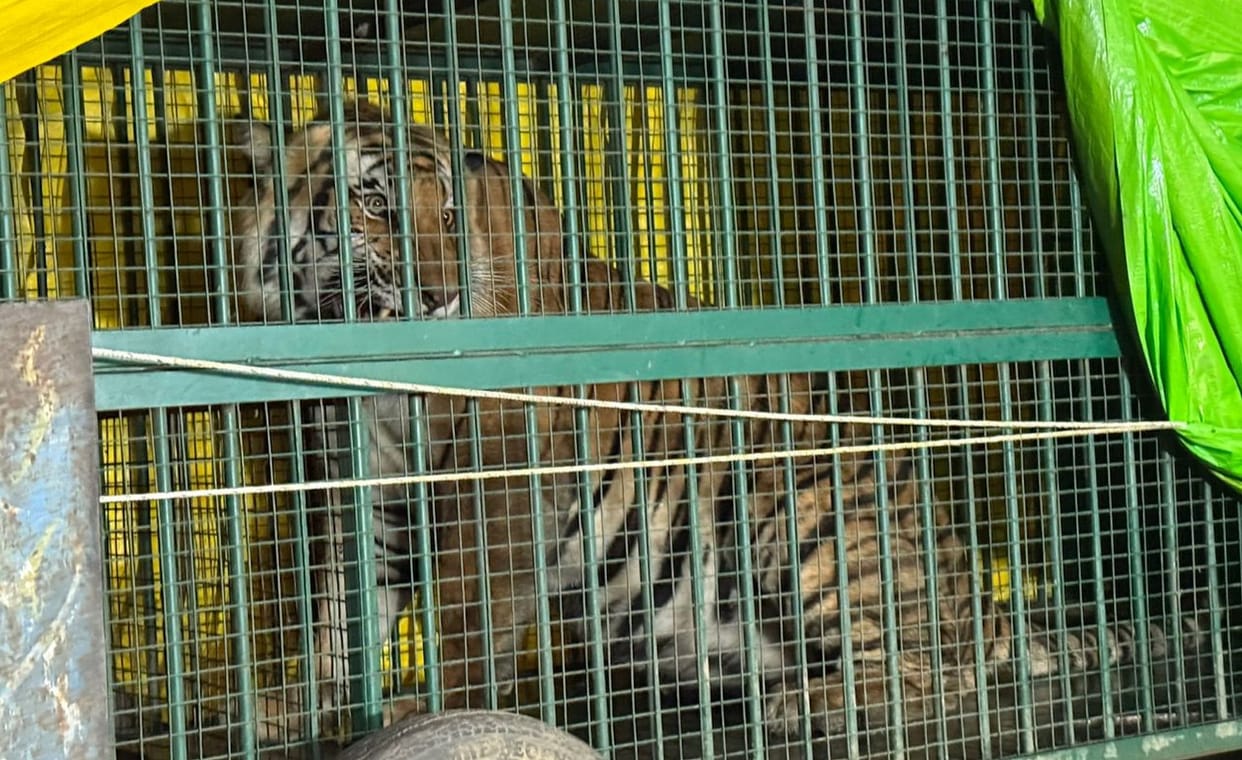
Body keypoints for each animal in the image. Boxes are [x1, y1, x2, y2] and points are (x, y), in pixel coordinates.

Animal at [227, 100, 1209, 753]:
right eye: (377, 205)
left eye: (451, 219)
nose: (436, 295)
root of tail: (973, 586)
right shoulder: (365, 486)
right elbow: (338, 610)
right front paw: (295, 704)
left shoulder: (500, 484)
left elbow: (469, 621)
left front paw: (433, 714)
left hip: (799, 518)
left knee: (940, 677)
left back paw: (812, 705)